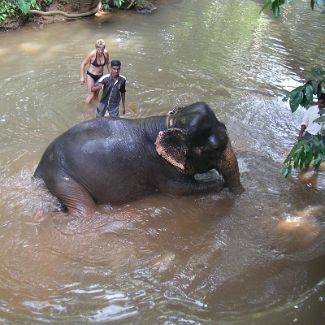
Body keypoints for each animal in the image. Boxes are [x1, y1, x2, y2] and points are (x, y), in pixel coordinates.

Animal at [34, 102, 242, 218]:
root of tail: (40, 167)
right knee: (84, 209)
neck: (167, 124)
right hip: (61, 177)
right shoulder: (162, 168)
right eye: (213, 149)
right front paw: (220, 182)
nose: (240, 194)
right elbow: (180, 189)